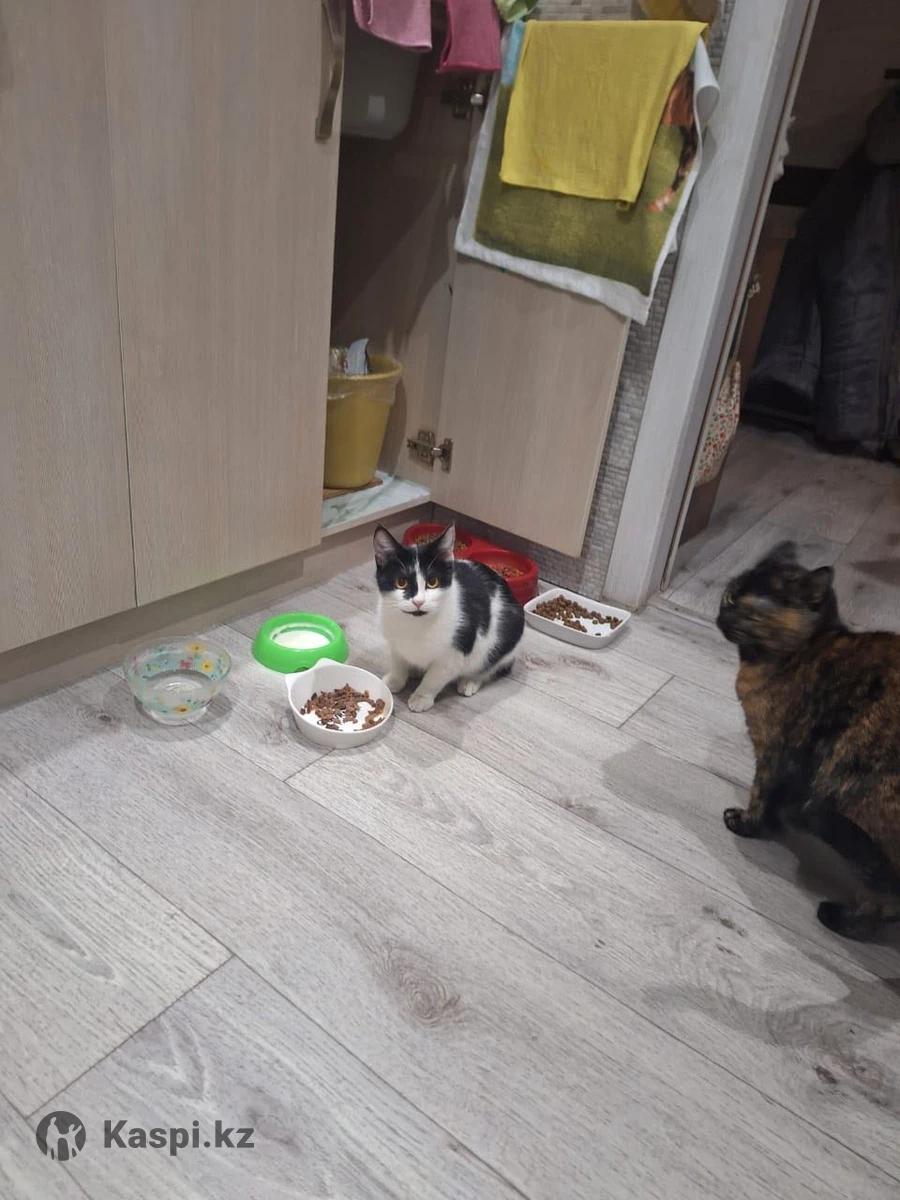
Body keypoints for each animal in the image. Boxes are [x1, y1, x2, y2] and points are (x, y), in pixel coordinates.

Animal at [373, 523, 524, 713]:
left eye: (433, 582)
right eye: (401, 582)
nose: (418, 601)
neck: (416, 624)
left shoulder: (456, 651)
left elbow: (435, 677)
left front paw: (421, 697)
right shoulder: (395, 643)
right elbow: (398, 661)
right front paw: (395, 680)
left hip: (506, 641)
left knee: (492, 665)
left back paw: (471, 681)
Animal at [717, 540, 900, 939]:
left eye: (747, 608)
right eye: (728, 596)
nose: (722, 615)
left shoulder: (774, 751)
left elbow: (760, 792)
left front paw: (747, 824)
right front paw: (775, 821)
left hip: (848, 798)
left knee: (884, 898)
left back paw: (839, 919)